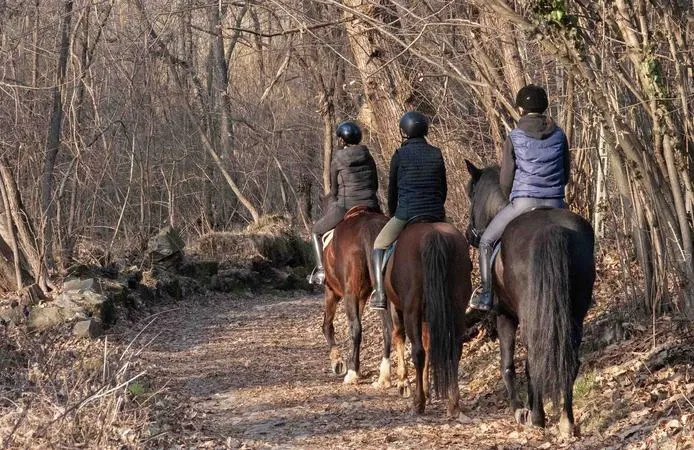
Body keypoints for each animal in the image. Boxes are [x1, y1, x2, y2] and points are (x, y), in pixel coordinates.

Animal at [322, 205, 390, 384]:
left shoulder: (333, 292)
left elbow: (327, 325)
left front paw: (338, 362)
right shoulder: (362, 297)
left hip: (349, 294)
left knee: (356, 329)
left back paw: (352, 373)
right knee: (389, 328)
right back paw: (385, 375)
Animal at [373, 220, 472, 417]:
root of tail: (433, 234)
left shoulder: (397, 309)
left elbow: (399, 337)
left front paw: (403, 383)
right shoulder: (428, 317)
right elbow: (428, 345)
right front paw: (426, 390)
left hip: (411, 310)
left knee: (417, 351)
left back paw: (418, 403)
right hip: (457, 309)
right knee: (454, 350)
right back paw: (453, 403)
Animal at [464, 161, 595, 436]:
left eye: (471, 194)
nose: (470, 236)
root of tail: (552, 229)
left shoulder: (504, 315)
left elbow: (507, 365)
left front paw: (519, 410)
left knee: (535, 359)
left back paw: (537, 417)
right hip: (574, 314)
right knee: (569, 360)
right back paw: (566, 421)